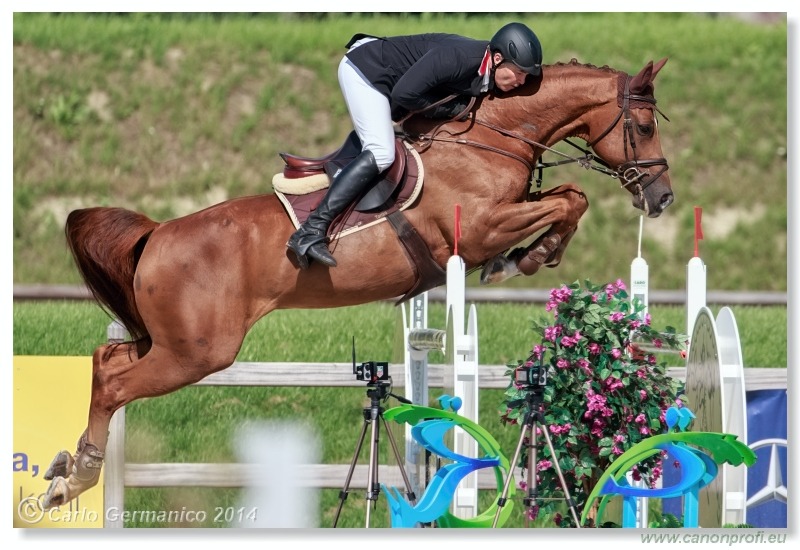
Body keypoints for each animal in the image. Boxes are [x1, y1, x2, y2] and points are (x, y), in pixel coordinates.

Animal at [40, 58, 672, 512]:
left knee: (107, 359)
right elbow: (569, 200)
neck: (497, 134)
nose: (662, 199)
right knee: (115, 383)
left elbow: (570, 197)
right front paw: (528, 258)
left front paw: (532, 256)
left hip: (171, 342)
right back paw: (78, 477)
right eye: (642, 127)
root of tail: (158, 234)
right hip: (197, 351)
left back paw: (69, 473)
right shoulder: (480, 226)